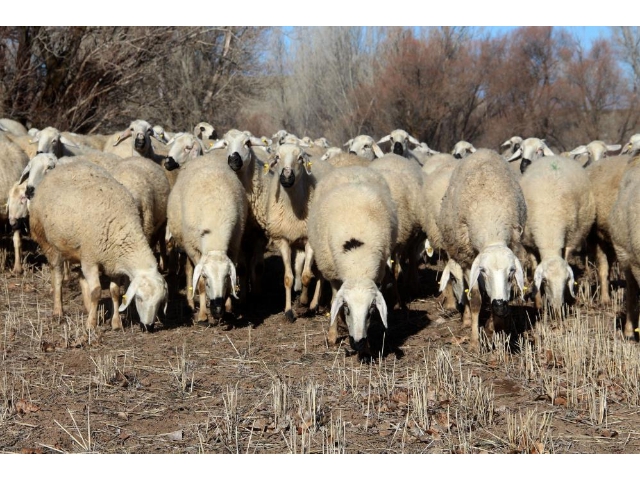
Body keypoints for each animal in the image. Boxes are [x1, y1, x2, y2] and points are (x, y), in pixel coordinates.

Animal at [29, 159, 168, 332]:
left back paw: (88, 308)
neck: (122, 229)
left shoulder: (113, 263)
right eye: (139, 298)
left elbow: (115, 292)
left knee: (81, 277)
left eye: (160, 302)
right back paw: (58, 311)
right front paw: (91, 324)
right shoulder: (91, 260)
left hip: (79, 250)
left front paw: (116, 323)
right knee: (58, 276)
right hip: (49, 243)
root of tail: (58, 169)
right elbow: (96, 292)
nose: (149, 326)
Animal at [166, 160, 246, 322]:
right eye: (206, 277)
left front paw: (228, 308)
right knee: (189, 270)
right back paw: (191, 302)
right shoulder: (194, 250)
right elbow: (200, 283)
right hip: (188, 244)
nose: (217, 309)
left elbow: (230, 283)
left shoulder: (234, 247)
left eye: (225, 277)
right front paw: (203, 315)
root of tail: (205, 157)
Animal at [308, 167, 398, 354]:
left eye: (371, 311)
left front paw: (367, 347)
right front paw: (333, 335)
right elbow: (334, 301)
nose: (357, 343)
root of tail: (352, 167)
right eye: (348, 308)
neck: (357, 265)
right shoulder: (333, 274)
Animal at [438, 148, 528, 346]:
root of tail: (483, 151)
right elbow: (475, 299)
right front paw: (474, 341)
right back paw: (466, 319)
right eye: (484, 270)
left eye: (512, 271)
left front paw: (495, 328)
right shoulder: (468, 260)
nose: (500, 304)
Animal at [520, 157, 596, 316]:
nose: (557, 309)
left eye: (566, 281)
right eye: (544, 281)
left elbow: (566, 257)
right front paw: (538, 304)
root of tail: (552, 157)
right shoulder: (529, 244)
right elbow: (535, 268)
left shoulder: (570, 240)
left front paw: (567, 298)